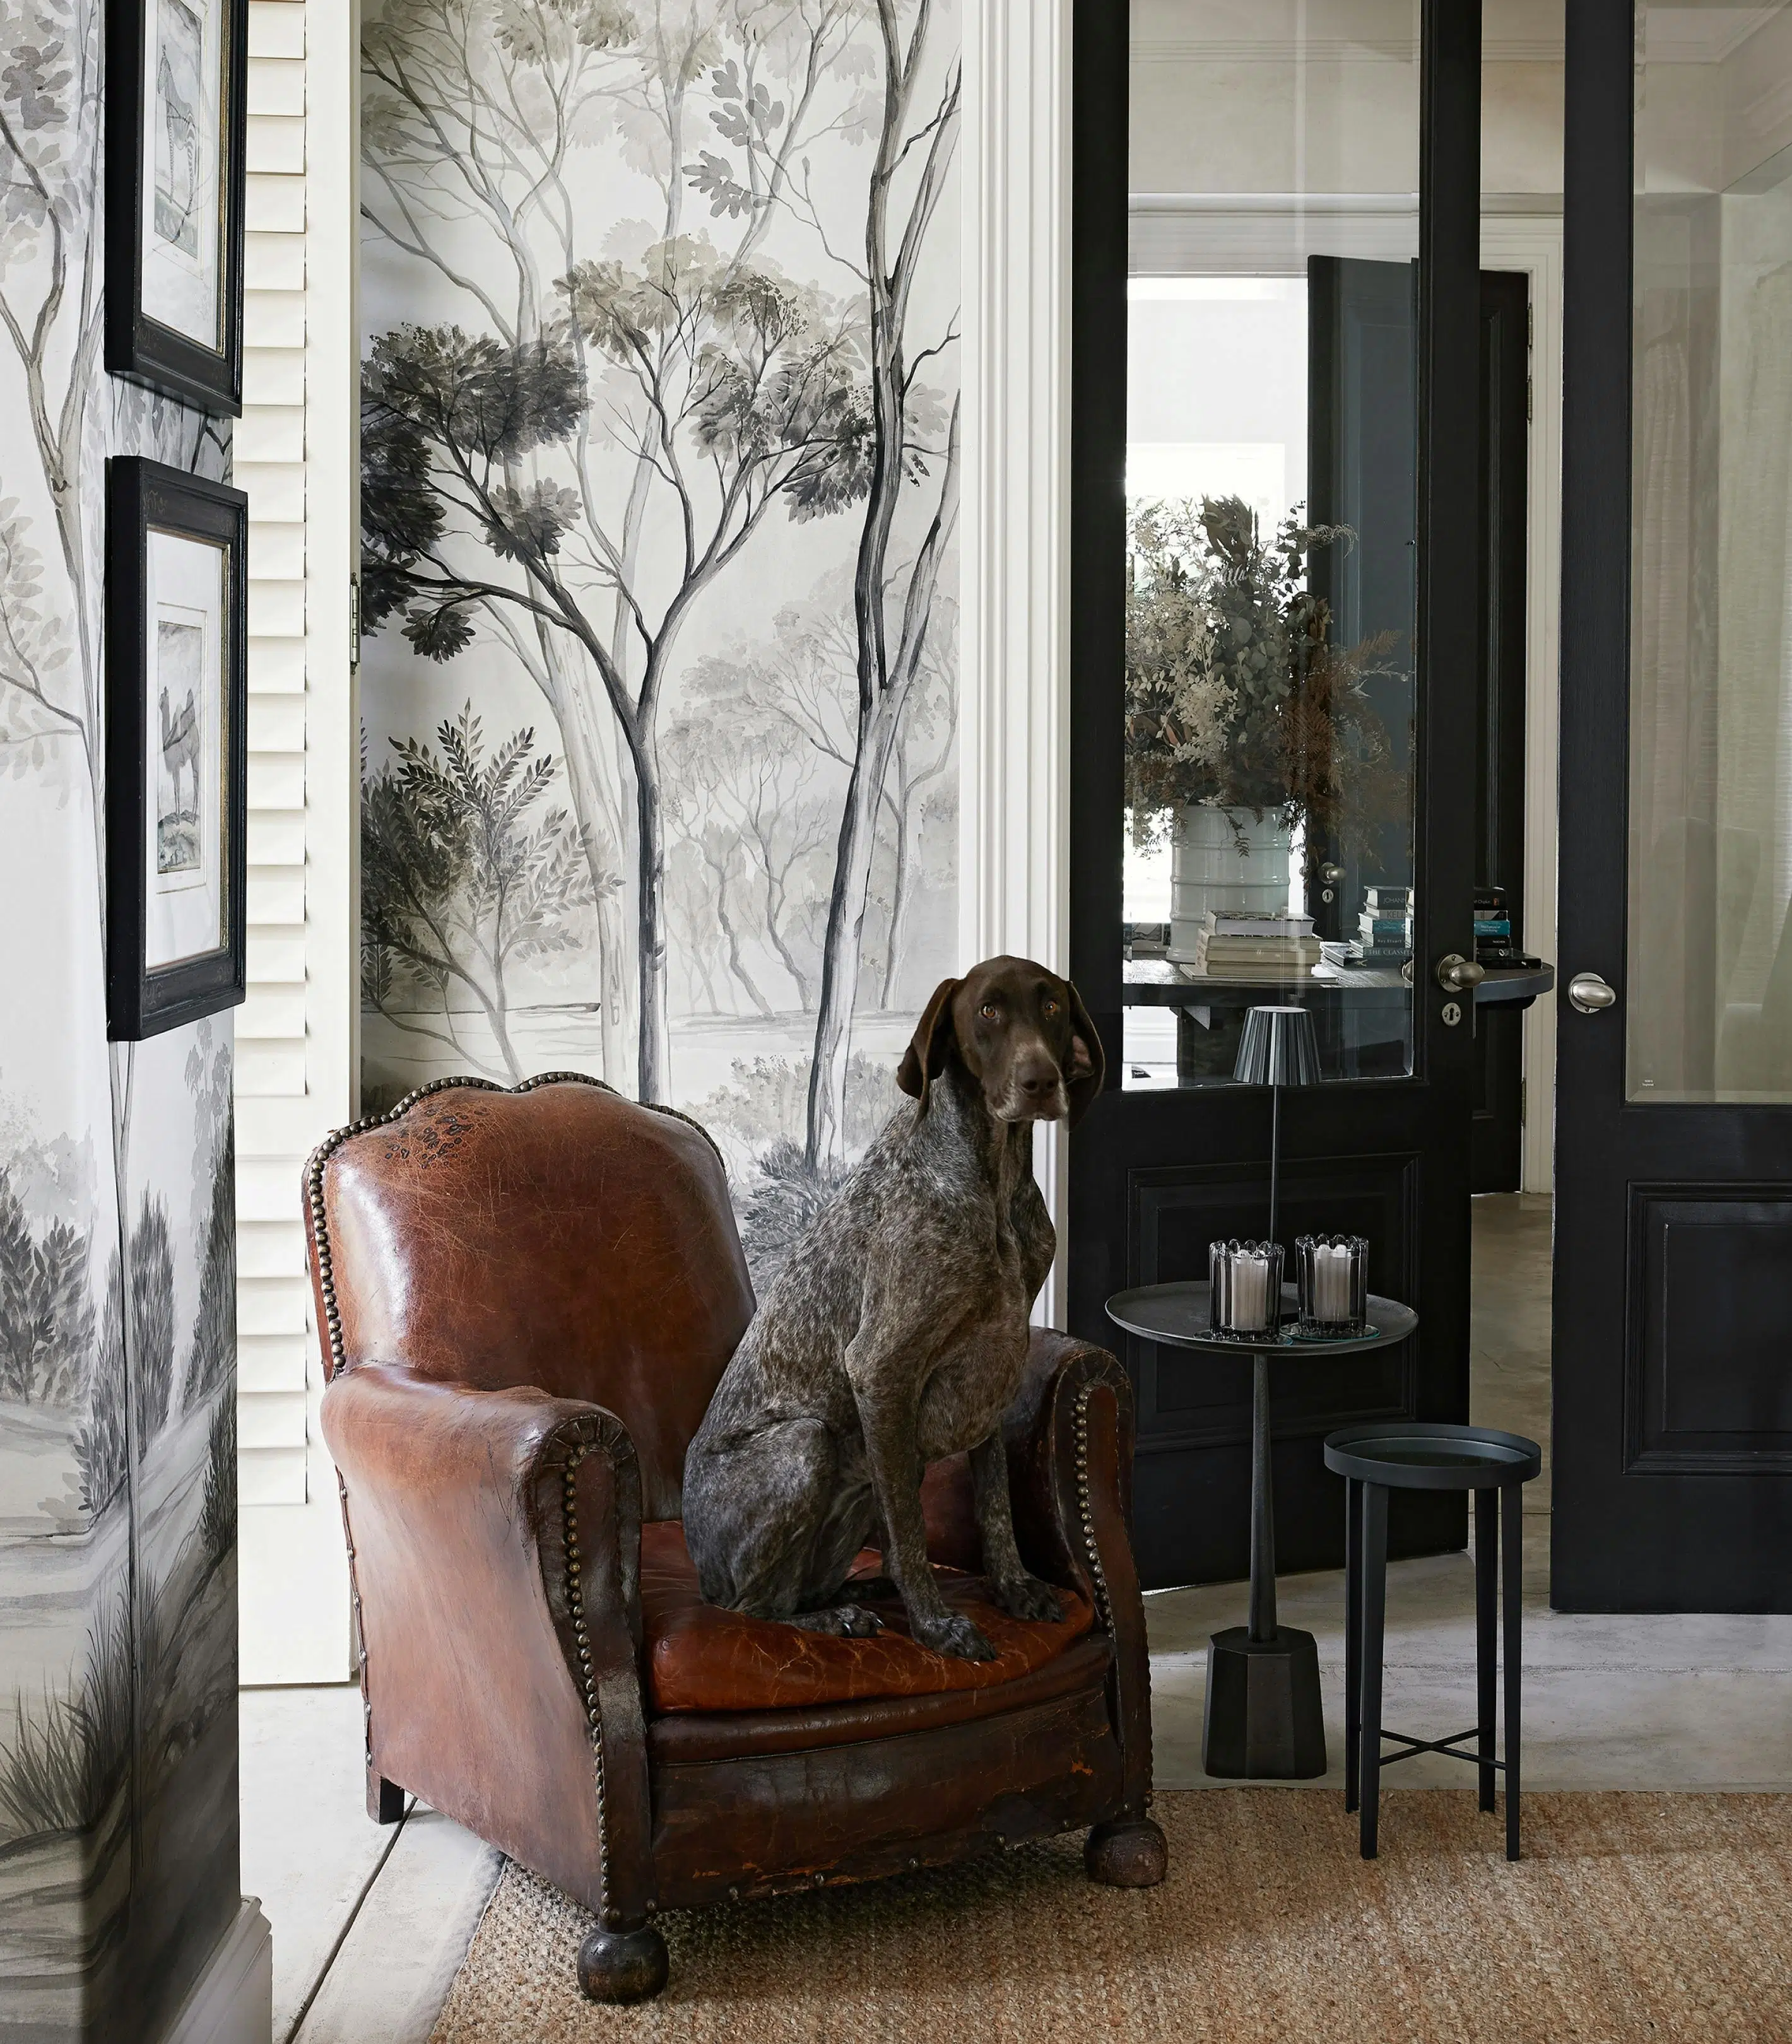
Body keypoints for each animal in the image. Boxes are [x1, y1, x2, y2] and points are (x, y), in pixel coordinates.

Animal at [687, 956, 1103, 1659]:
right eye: (988, 1011)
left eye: (1051, 1007)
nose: (1040, 1081)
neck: (992, 1181)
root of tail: (695, 1573)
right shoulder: (881, 1368)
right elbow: (909, 1531)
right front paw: (935, 1624)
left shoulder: (994, 1370)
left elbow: (994, 1505)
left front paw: (1013, 1587)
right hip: (808, 1444)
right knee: (751, 1608)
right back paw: (831, 1620)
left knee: (798, 1589)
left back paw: (855, 1593)